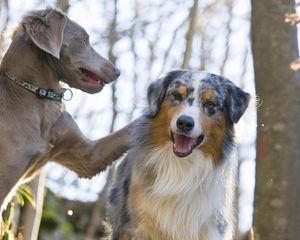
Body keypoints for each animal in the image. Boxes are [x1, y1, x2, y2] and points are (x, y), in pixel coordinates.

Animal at [109, 70, 250, 240]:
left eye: (210, 103)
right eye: (176, 96)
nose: (184, 123)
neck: (181, 166)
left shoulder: (213, 227)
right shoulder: (135, 227)